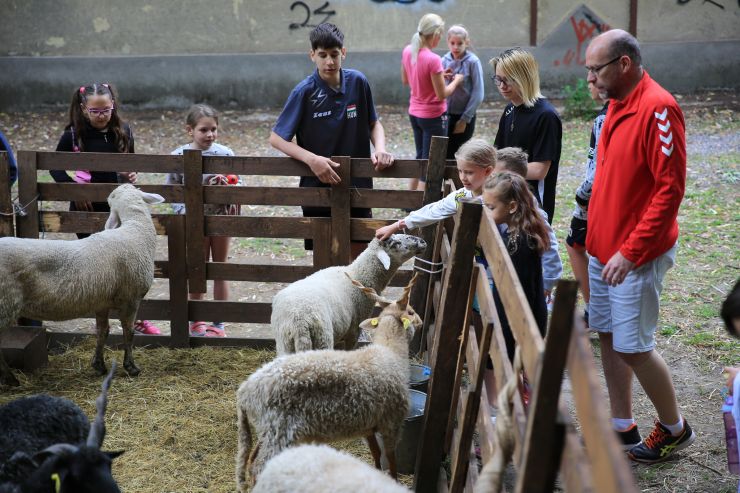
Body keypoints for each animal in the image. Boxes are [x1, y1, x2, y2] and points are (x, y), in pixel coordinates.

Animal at [0, 184, 163, 384]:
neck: (136, 229)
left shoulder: (102, 303)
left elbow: (103, 331)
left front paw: (99, 365)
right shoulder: (131, 299)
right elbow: (128, 332)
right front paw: (131, 367)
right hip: (5, 302)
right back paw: (10, 379)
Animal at [272, 234, 424, 354]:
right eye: (395, 243)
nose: (422, 242)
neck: (359, 275)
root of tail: (299, 321)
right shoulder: (354, 331)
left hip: (285, 344)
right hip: (322, 338)